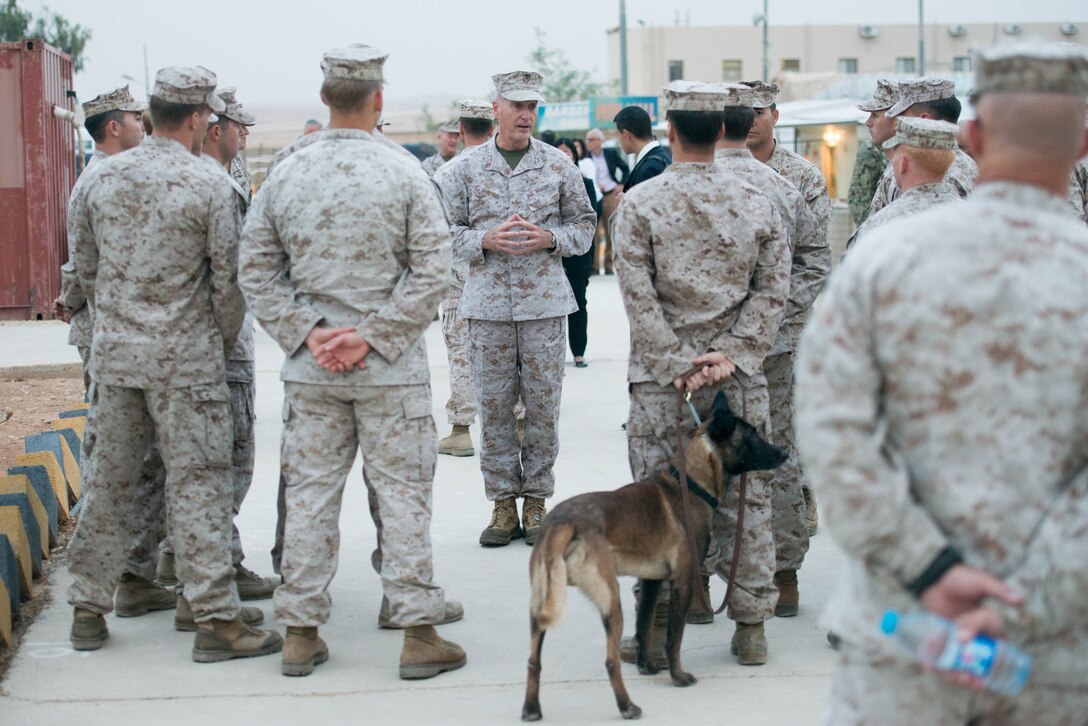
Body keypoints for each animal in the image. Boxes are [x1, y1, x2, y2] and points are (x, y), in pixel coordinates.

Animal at [522, 391, 787, 722]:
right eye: (752, 436)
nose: (783, 453)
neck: (691, 484)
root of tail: (562, 522)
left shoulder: (650, 582)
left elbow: (644, 626)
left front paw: (646, 665)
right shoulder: (683, 582)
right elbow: (674, 637)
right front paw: (677, 676)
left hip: (540, 605)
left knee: (534, 660)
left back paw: (532, 709)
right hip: (610, 601)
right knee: (610, 661)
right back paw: (627, 706)